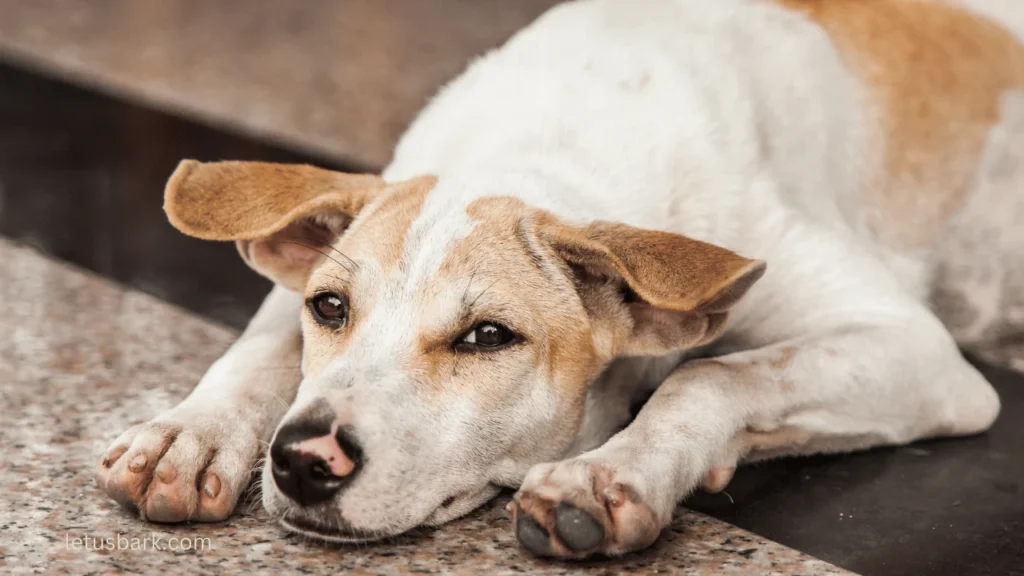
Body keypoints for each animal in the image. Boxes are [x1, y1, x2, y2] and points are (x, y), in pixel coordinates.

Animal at [94, 0, 1024, 557]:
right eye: (329, 307)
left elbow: (713, 376)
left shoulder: (917, 352)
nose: (303, 461)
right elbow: (260, 349)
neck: (542, 141)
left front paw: (608, 476)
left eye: (488, 336)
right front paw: (188, 433)